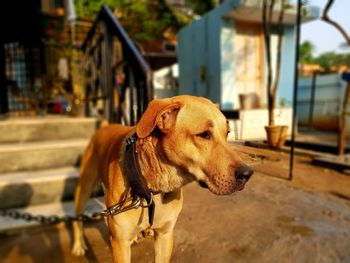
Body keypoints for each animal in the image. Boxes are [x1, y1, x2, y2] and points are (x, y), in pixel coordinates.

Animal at [72, 96, 252, 262]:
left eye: (227, 133)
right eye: (204, 134)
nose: (247, 174)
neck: (151, 189)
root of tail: (104, 127)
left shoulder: (165, 235)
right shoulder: (120, 244)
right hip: (84, 187)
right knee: (77, 218)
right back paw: (79, 246)